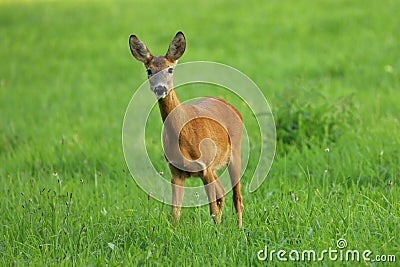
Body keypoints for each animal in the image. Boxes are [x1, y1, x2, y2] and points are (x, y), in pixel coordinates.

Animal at [129, 31, 244, 228]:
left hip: (234, 153)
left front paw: (216, 232)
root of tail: (230, 105)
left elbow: (212, 209)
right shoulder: (176, 171)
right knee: (222, 192)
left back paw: (239, 228)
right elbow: (175, 212)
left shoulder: (205, 166)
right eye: (149, 70)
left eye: (170, 69)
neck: (185, 136)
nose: (160, 88)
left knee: (237, 198)